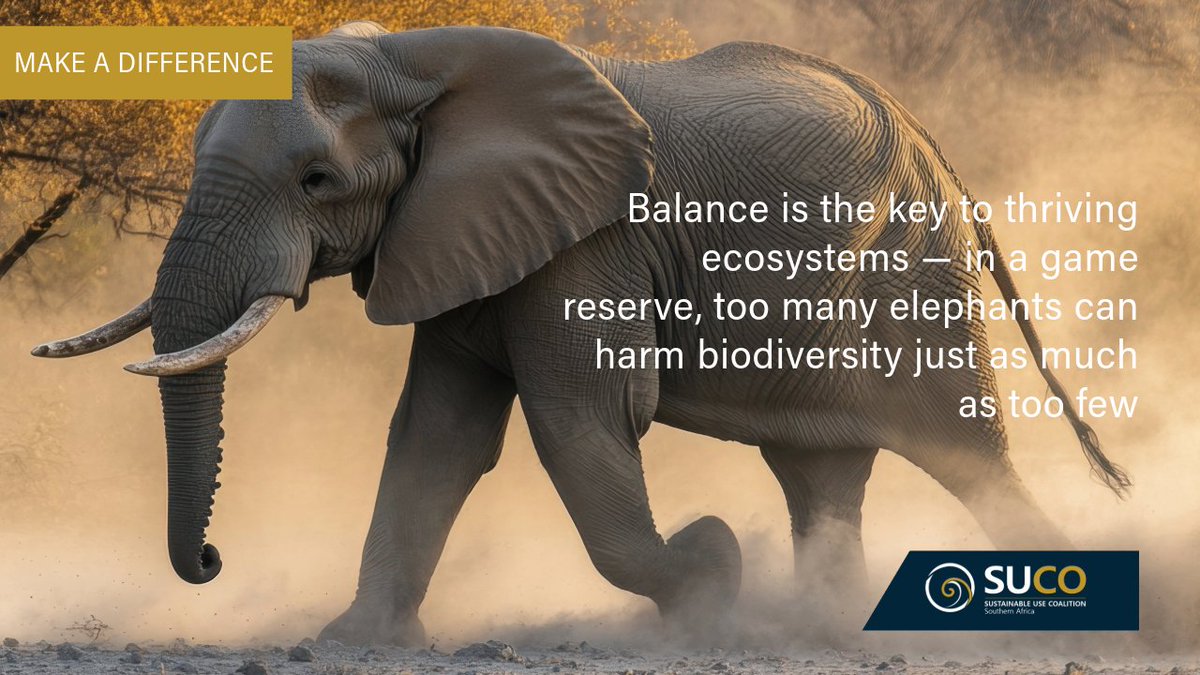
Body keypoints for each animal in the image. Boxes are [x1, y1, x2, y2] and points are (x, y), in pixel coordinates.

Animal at [34, 22, 1130, 645]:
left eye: (316, 181)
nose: (213, 561)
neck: (409, 56)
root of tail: (931, 141)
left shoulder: (592, 239)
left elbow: (581, 421)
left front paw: (711, 572)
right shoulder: (460, 229)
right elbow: (436, 435)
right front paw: (349, 643)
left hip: (915, 269)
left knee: (966, 451)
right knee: (819, 470)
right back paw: (823, 627)